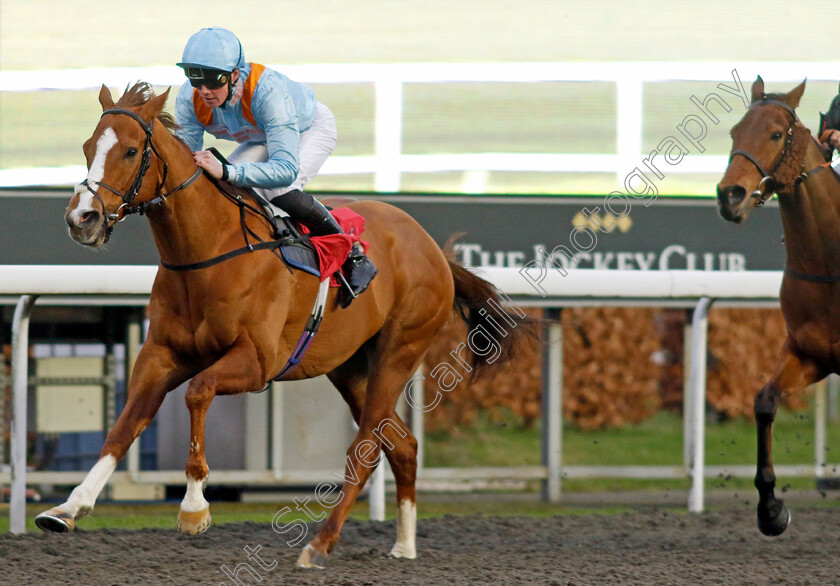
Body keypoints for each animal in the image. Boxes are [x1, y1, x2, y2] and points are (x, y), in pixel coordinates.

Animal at [37, 83, 532, 564]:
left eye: (130, 151)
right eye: (88, 147)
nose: (82, 219)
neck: (209, 252)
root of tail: (434, 250)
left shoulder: (257, 362)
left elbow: (198, 393)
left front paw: (194, 507)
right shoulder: (162, 354)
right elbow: (125, 425)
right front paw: (69, 507)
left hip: (398, 352)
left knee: (367, 449)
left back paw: (320, 543)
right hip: (350, 368)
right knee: (403, 445)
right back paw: (404, 546)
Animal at [716, 75, 840, 536]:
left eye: (774, 134)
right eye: (734, 132)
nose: (730, 195)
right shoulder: (808, 352)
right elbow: (765, 402)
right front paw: (770, 509)